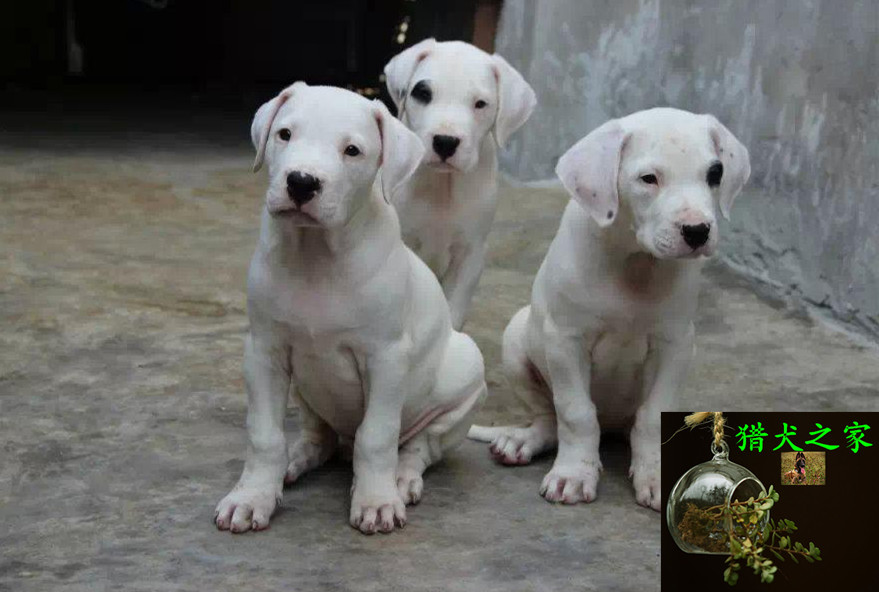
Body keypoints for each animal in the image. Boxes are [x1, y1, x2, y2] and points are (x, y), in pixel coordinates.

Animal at [214, 84, 488, 536]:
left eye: (352, 151)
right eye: (285, 134)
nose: (301, 182)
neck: (316, 254)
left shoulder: (386, 359)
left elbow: (376, 437)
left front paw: (376, 501)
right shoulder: (264, 352)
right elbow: (264, 435)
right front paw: (251, 497)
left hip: (464, 376)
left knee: (419, 447)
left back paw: (401, 478)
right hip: (308, 395)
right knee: (319, 438)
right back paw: (295, 460)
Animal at [384, 39, 536, 330]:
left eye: (480, 104)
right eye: (423, 94)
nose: (445, 141)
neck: (443, 186)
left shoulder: (471, 255)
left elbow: (453, 312)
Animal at [470, 107, 752, 512]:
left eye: (714, 175)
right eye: (648, 179)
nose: (698, 231)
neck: (635, 261)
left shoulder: (675, 344)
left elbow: (652, 416)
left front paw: (655, 474)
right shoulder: (566, 340)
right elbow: (576, 414)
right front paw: (574, 474)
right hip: (516, 342)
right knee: (549, 418)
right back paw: (523, 441)